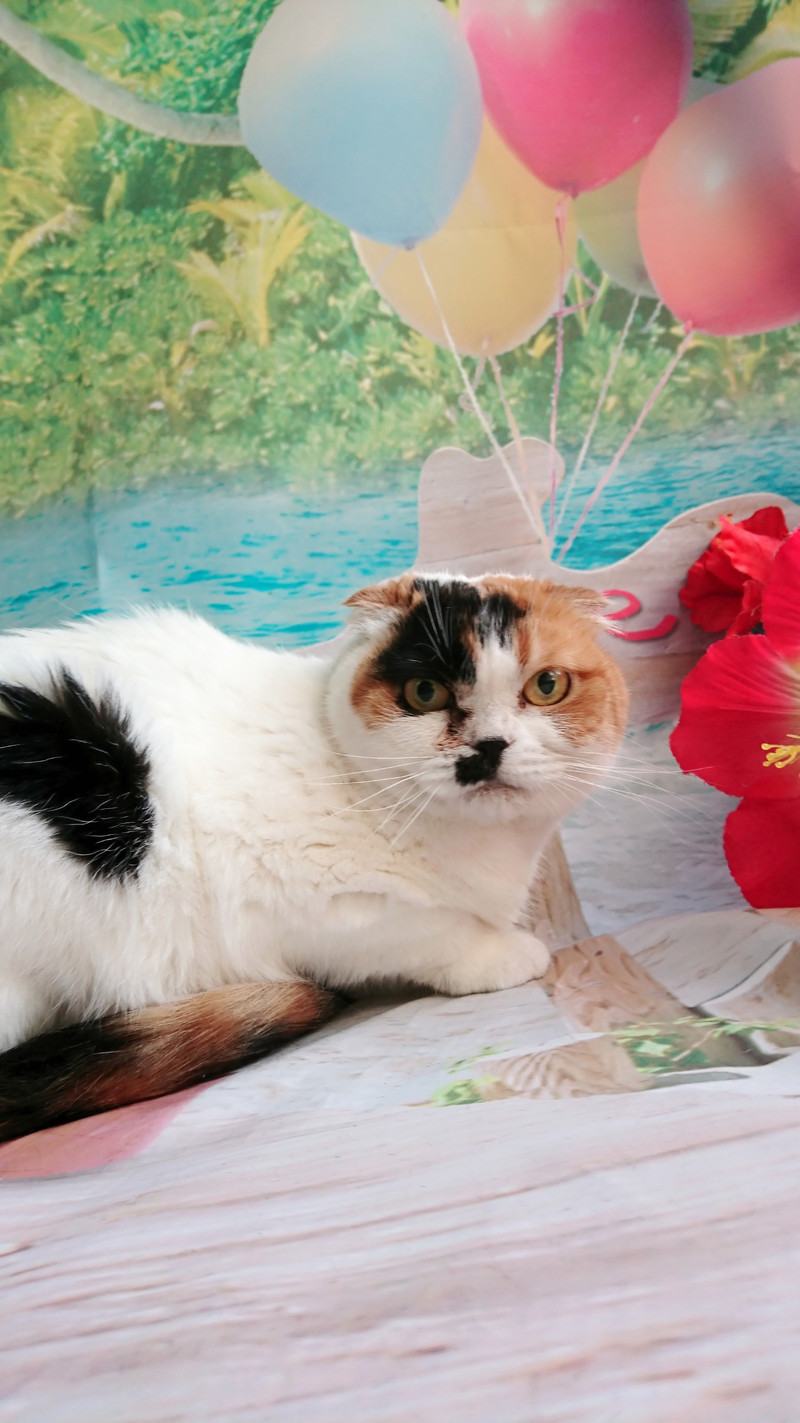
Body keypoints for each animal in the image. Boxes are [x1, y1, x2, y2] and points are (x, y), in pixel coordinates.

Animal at [0, 572, 627, 1140]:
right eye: (425, 693)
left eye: (547, 685)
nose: (490, 745)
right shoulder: (314, 907)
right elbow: (431, 931)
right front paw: (500, 953)